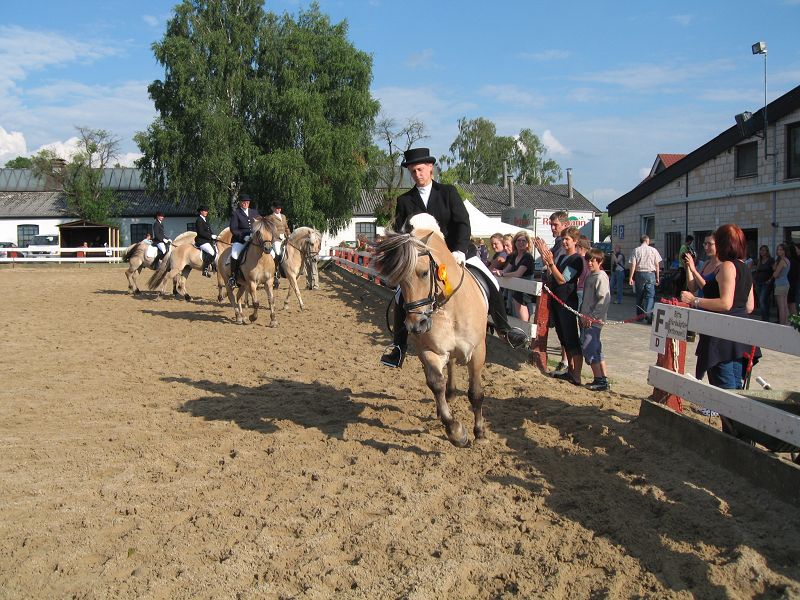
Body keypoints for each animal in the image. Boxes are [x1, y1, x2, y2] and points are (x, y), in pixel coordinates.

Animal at [375, 213, 488, 447]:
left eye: (425, 273)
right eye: (398, 280)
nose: (415, 325)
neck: (448, 307)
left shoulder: (477, 351)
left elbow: (475, 392)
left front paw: (480, 433)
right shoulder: (429, 351)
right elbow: (436, 384)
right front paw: (456, 431)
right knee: (446, 373)